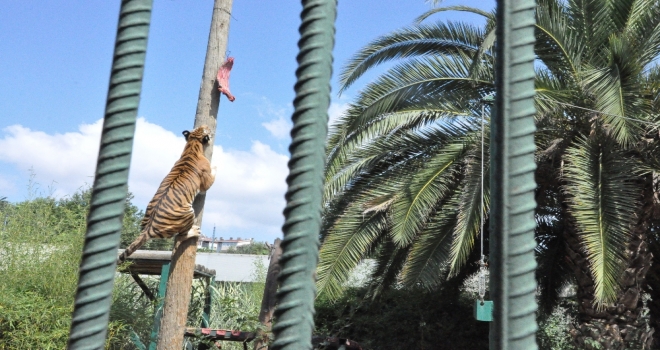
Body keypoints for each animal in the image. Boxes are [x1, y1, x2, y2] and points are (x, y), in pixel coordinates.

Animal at [114, 124, 215, 264]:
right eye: (206, 130)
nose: (206, 126)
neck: (192, 145)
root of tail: (148, 230)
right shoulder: (205, 183)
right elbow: (212, 178)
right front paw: (216, 167)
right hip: (188, 213)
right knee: (180, 236)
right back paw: (194, 231)